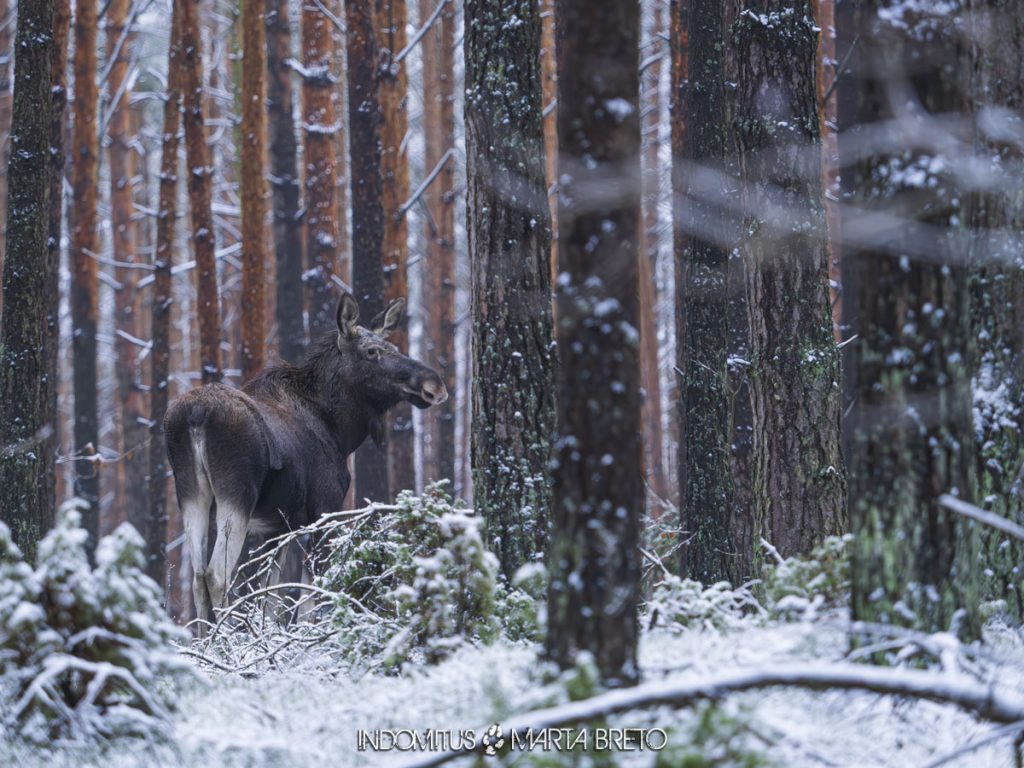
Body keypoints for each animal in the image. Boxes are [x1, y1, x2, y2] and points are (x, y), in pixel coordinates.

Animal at [167, 292, 448, 630]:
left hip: (191, 495)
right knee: (216, 576)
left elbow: (270, 598)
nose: (435, 385)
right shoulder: (323, 511)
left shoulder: (277, 528)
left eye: (394, 348)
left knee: (198, 578)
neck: (341, 432)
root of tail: (196, 415)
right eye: (371, 352)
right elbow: (311, 597)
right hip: (235, 497)